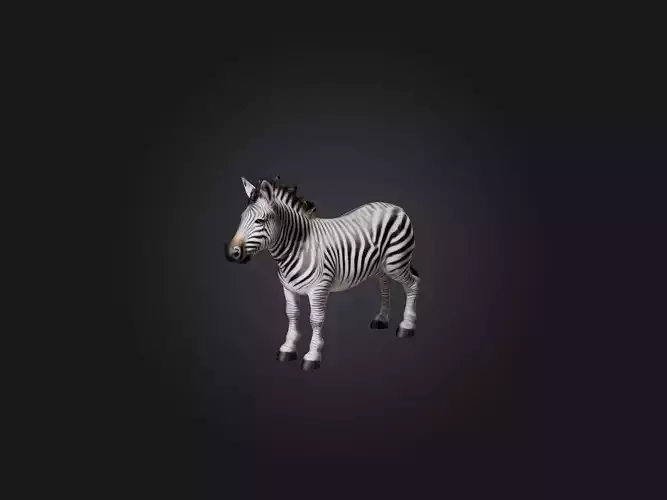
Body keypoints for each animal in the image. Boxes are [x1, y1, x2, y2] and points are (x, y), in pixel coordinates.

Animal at [225, 176, 420, 371]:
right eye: (241, 218)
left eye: (259, 221)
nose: (231, 253)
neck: (297, 247)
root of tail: (395, 207)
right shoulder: (288, 289)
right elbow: (291, 314)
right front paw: (288, 348)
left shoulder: (318, 289)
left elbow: (316, 320)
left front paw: (313, 355)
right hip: (381, 265)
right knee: (385, 284)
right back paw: (382, 319)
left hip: (396, 262)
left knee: (412, 283)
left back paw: (407, 326)